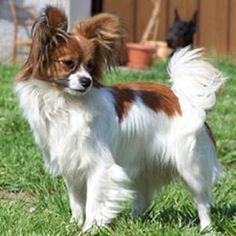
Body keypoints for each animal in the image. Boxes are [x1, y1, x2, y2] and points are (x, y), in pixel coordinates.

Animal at [14, 6, 225, 232]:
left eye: (90, 66)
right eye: (68, 64)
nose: (87, 81)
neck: (67, 103)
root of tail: (180, 96)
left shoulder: (99, 166)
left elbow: (93, 202)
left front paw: (89, 229)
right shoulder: (72, 165)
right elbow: (76, 202)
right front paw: (74, 225)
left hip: (190, 166)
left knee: (201, 200)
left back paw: (206, 228)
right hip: (145, 164)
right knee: (143, 198)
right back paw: (134, 221)